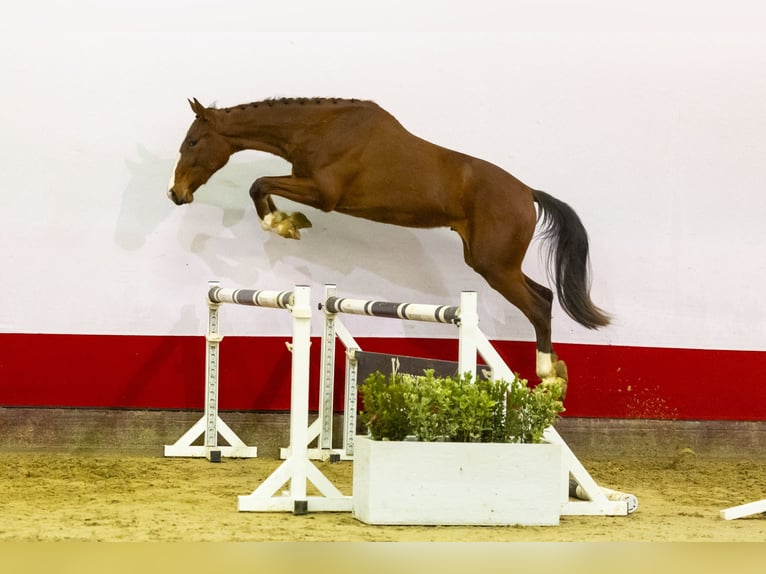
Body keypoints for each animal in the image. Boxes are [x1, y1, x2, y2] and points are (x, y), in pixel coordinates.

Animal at [170, 98, 612, 396]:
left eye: (193, 141)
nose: (176, 194)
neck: (318, 129)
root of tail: (527, 193)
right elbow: (261, 187)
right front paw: (287, 222)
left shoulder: (324, 193)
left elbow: (259, 184)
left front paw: (284, 224)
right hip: (492, 262)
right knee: (545, 295)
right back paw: (555, 372)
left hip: (494, 266)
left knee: (537, 304)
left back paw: (548, 375)